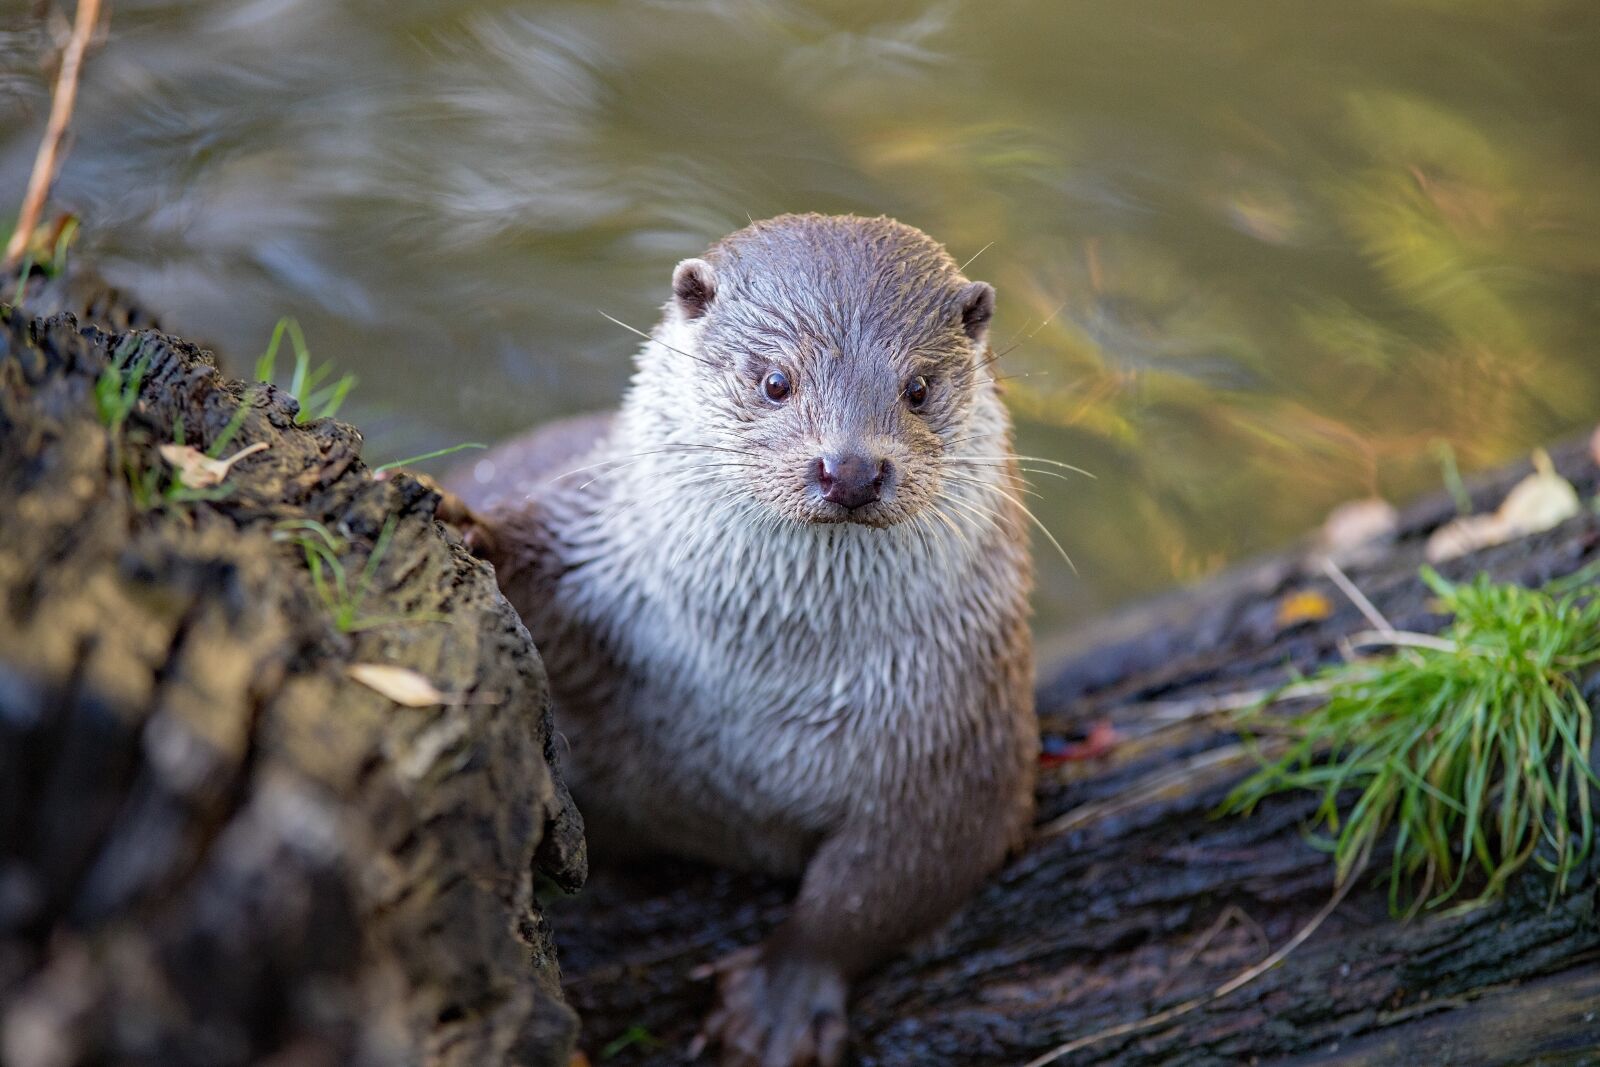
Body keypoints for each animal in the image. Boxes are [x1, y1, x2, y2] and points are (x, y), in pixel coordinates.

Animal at [445, 214, 1037, 1067]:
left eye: (919, 388)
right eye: (775, 381)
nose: (850, 468)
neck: (756, 680)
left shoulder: (957, 734)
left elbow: (883, 884)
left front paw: (778, 1001)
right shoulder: (590, 554)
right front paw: (469, 531)